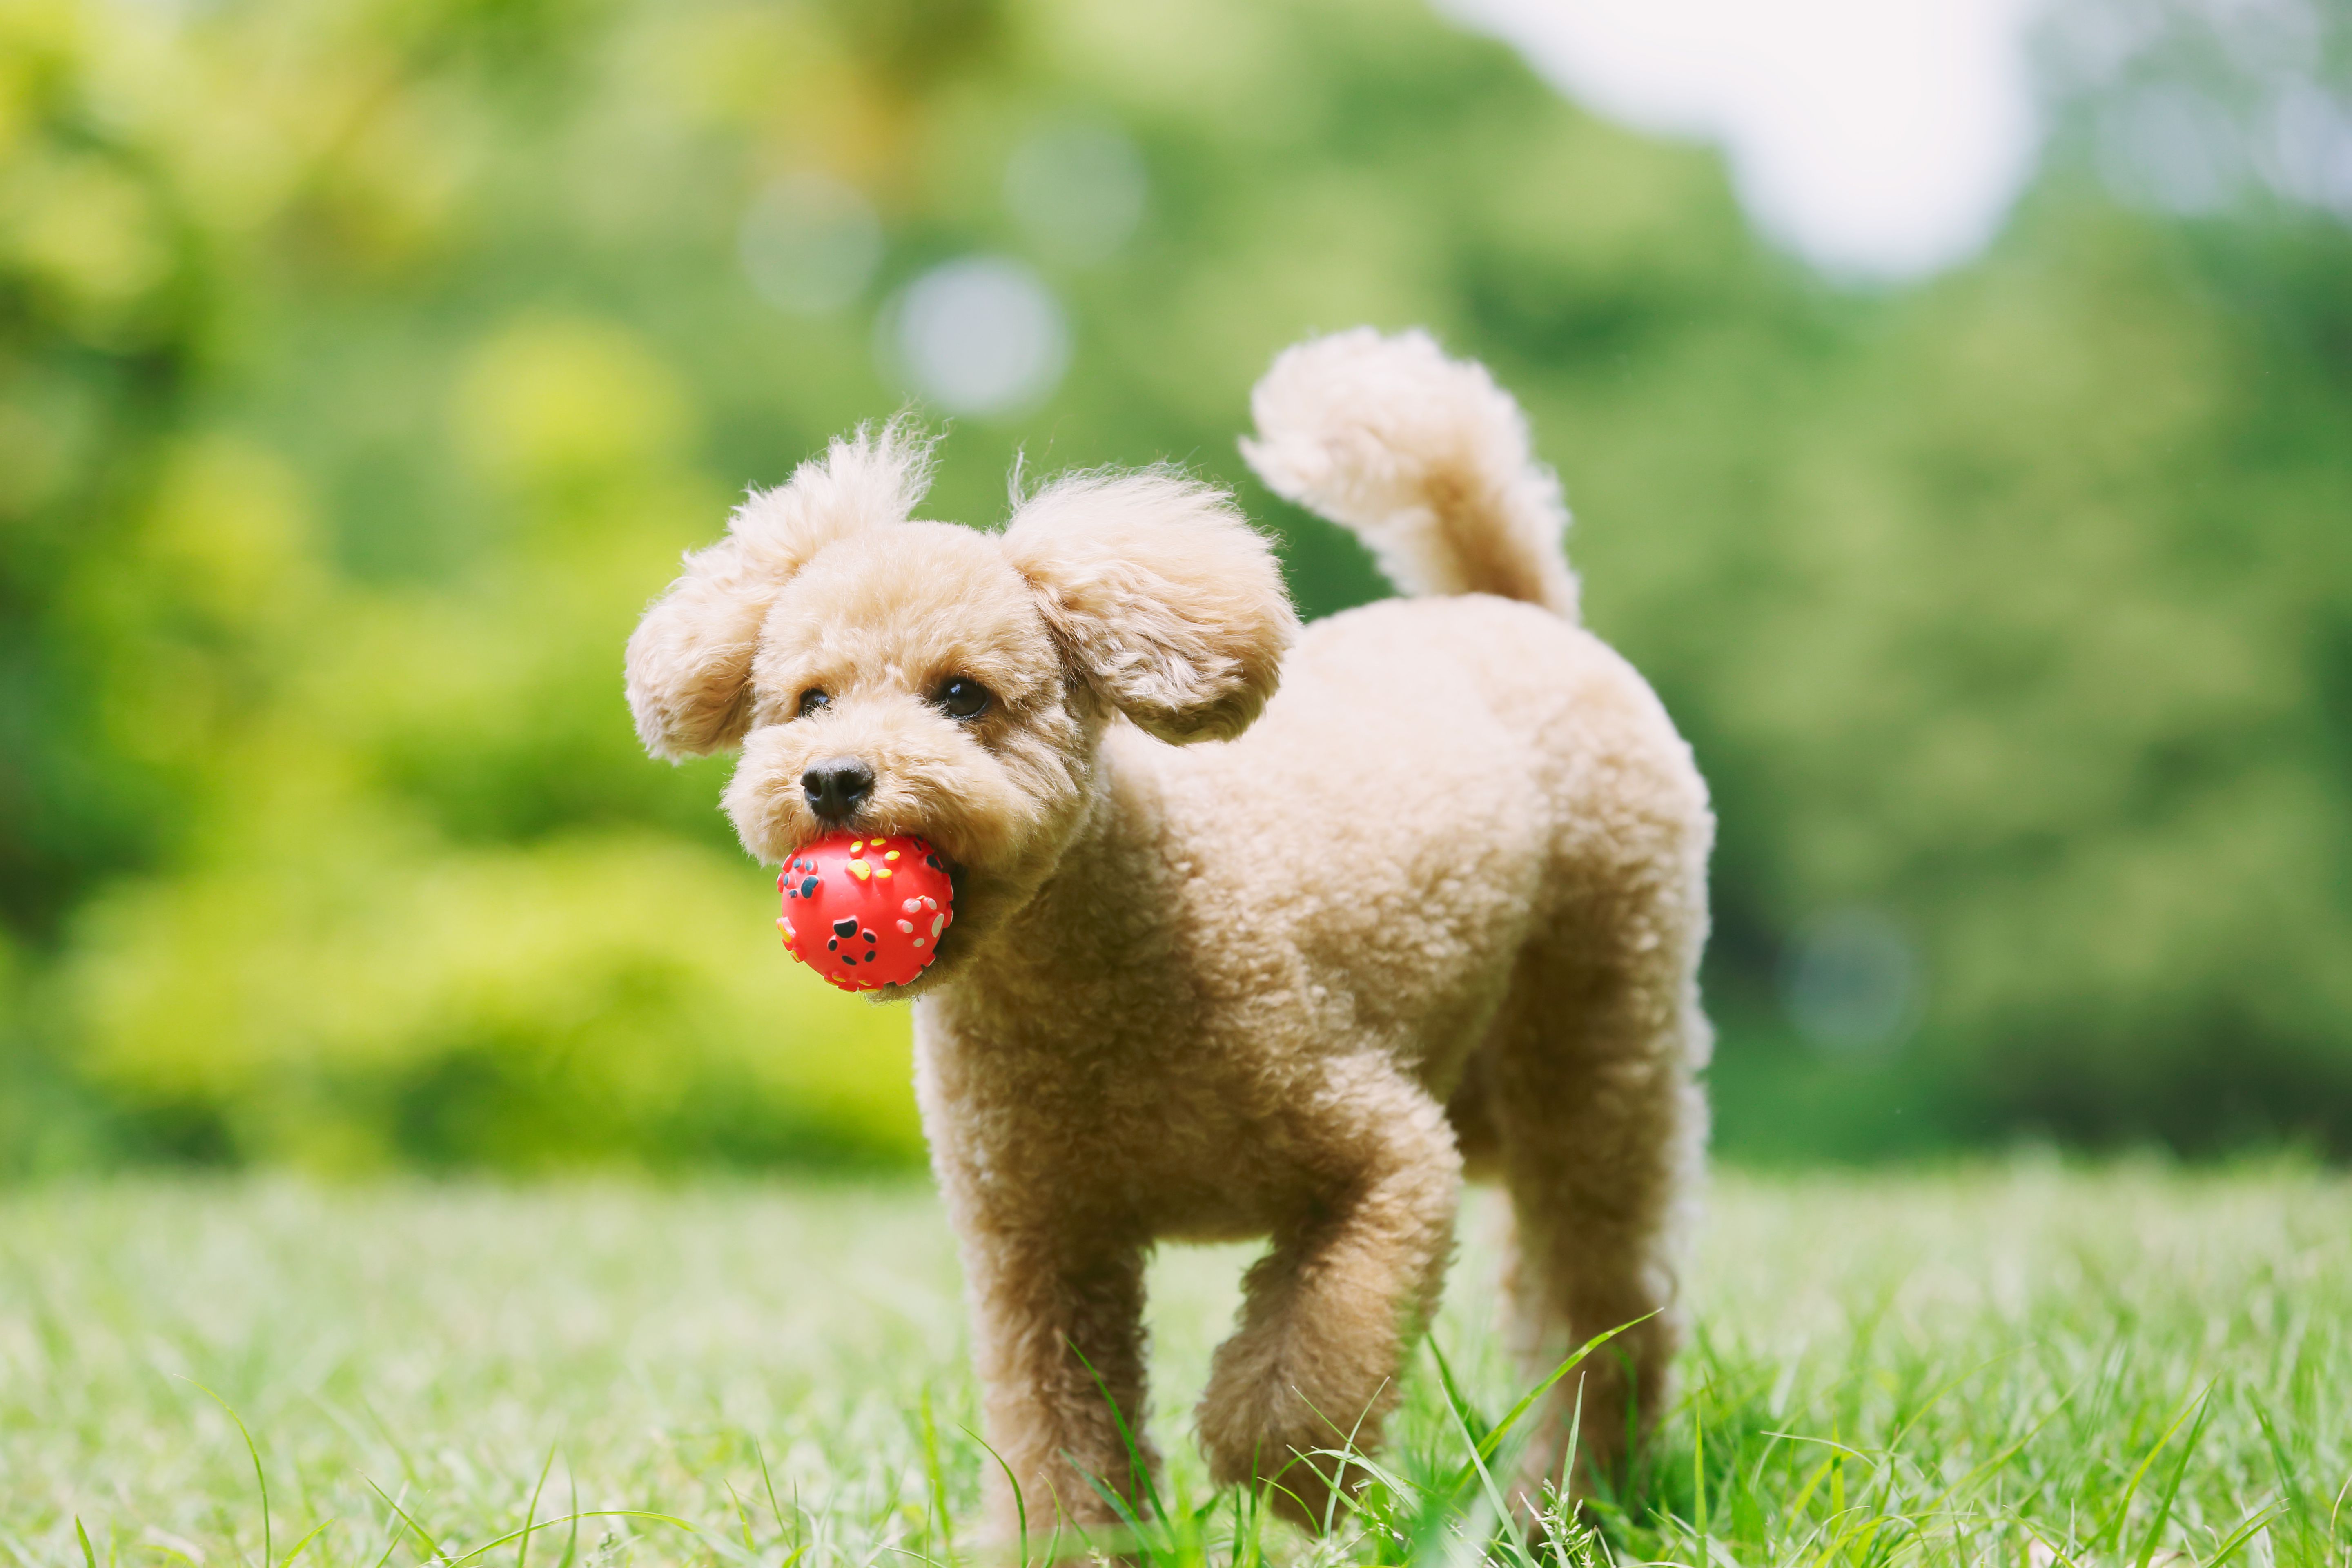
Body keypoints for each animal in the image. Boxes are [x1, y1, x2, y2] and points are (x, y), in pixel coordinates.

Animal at [626, 329, 1712, 1532]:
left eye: (961, 695)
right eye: (809, 700)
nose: (832, 778)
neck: (1101, 967)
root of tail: (1512, 607)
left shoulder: (1383, 1155)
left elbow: (1312, 1354)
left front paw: (1288, 1479)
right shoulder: (1040, 1241)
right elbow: (1058, 1435)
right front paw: (1083, 1539)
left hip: (1596, 1034)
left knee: (1603, 1302)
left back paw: (1574, 1502)